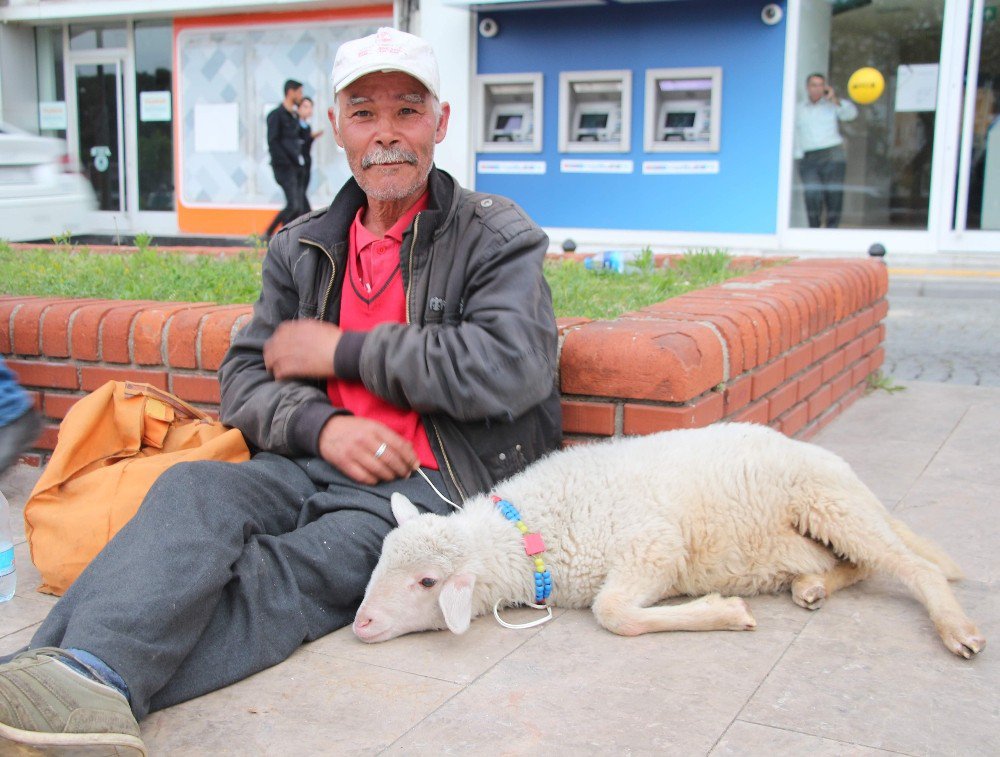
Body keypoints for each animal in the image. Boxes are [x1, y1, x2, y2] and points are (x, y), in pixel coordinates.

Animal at [354, 422, 984, 660]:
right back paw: (812, 585)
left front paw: (724, 613)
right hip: (824, 523)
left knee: (914, 567)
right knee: (859, 564)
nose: (360, 624)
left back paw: (958, 630)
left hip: (830, 501)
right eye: (382, 562)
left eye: (427, 582)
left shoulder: (653, 547)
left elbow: (613, 613)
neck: (532, 533)